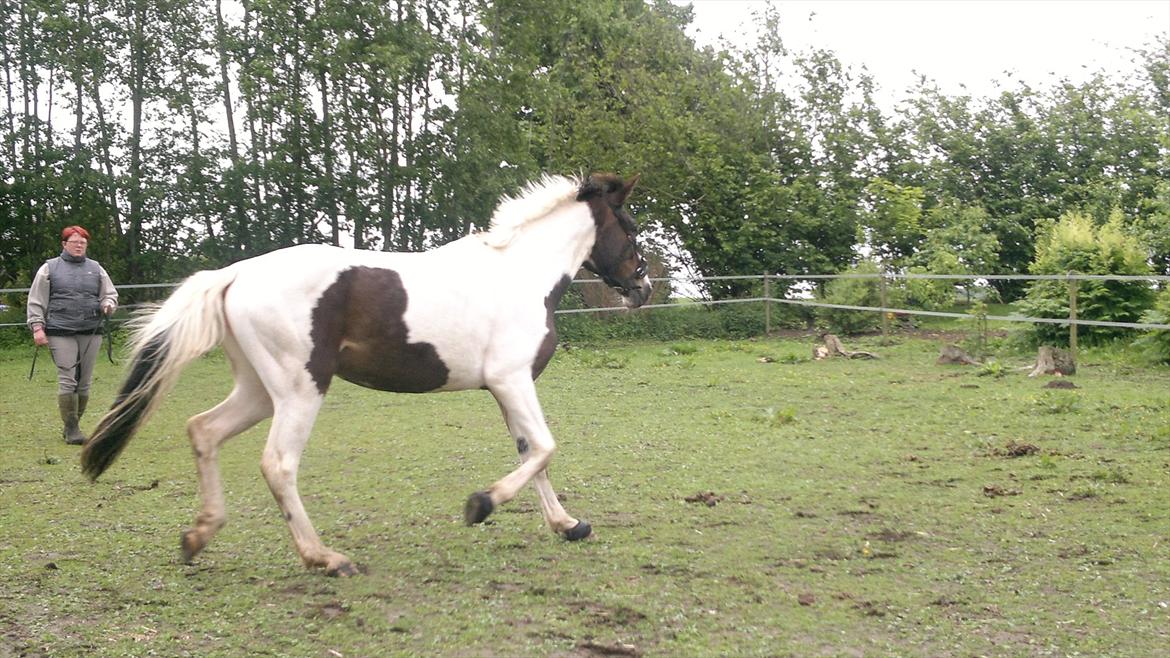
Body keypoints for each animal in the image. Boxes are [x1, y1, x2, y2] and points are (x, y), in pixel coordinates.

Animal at [80, 173, 650, 573]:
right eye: (632, 229)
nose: (642, 289)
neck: (520, 274)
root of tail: (235, 274)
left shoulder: (509, 387)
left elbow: (533, 453)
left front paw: (568, 525)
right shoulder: (511, 380)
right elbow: (546, 448)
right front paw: (480, 505)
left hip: (260, 391)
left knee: (203, 430)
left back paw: (198, 536)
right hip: (300, 390)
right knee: (278, 464)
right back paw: (325, 559)